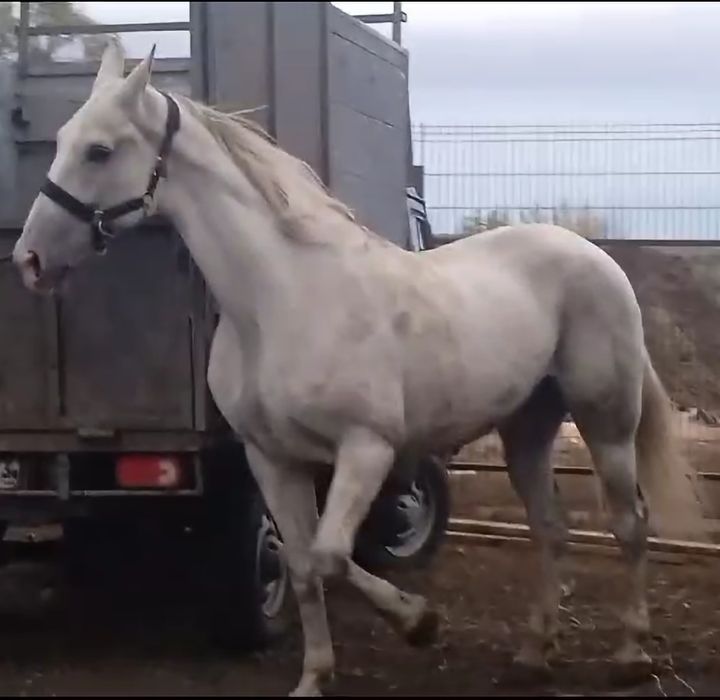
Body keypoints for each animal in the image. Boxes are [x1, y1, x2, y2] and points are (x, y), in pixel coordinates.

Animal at [12, 42, 707, 696]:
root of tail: (592, 254)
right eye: (63, 141)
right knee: (551, 530)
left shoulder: (366, 449)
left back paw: (630, 655)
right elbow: (298, 566)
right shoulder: (272, 458)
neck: (281, 300)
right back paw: (535, 655)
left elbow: (329, 556)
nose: (30, 259)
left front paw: (419, 622)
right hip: (527, 430)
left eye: (100, 150)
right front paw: (314, 677)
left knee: (630, 525)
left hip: (606, 421)